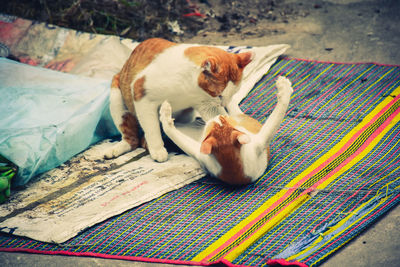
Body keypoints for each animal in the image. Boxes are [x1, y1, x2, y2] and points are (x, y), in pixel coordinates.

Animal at [104, 38, 252, 163]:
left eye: (233, 93)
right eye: (219, 95)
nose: (224, 103)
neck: (191, 88)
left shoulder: (206, 105)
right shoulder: (142, 95)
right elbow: (152, 127)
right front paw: (157, 149)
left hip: (187, 115)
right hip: (117, 97)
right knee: (132, 138)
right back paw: (118, 148)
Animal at [159, 76, 294, 186]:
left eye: (222, 120)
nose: (217, 116)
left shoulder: (201, 155)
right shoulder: (260, 142)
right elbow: (276, 117)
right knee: (232, 105)